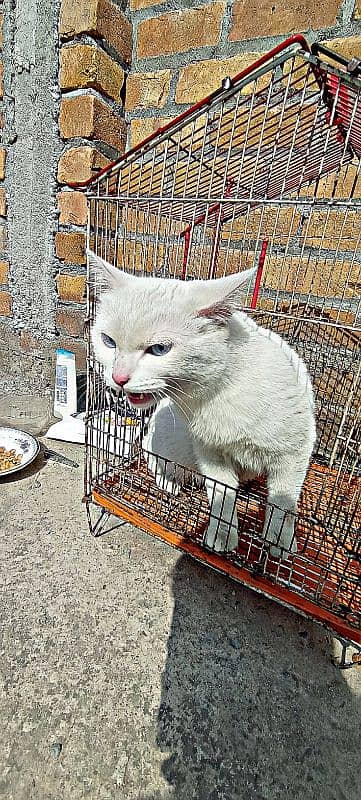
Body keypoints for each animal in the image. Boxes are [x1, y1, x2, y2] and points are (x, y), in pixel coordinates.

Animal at [88, 250, 314, 556]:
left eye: (159, 349)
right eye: (108, 341)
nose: (118, 377)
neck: (215, 397)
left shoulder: (296, 452)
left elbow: (283, 503)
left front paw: (279, 540)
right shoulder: (209, 451)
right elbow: (223, 492)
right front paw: (222, 532)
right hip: (168, 448)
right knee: (154, 459)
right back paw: (170, 484)